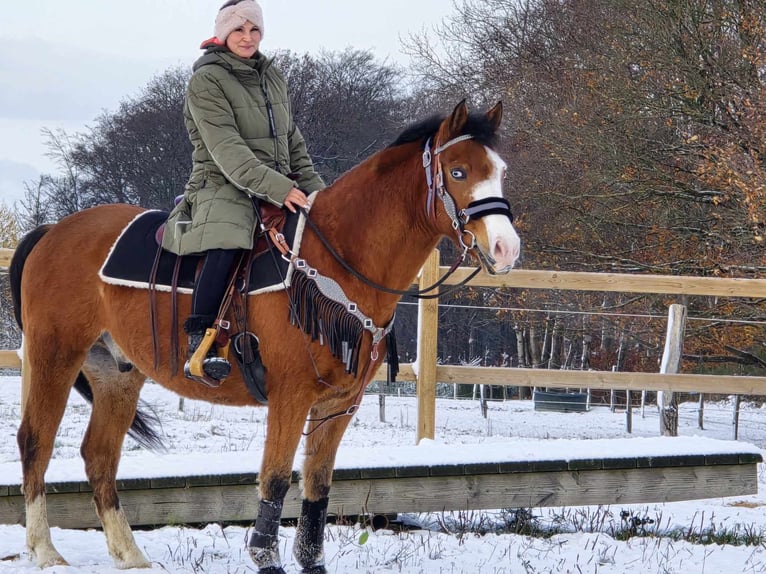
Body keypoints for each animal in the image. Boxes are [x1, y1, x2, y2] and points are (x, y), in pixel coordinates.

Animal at [9, 101, 520, 572]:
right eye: (457, 171)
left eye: (500, 171)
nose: (505, 247)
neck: (337, 261)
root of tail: (53, 230)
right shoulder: (290, 395)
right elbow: (274, 478)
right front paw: (265, 558)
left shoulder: (340, 402)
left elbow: (318, 485)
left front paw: (311, 562)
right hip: (55, 354)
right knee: (35, 441)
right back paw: (45, 550)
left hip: (117, 373)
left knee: (99, 455)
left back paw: (129, 554)